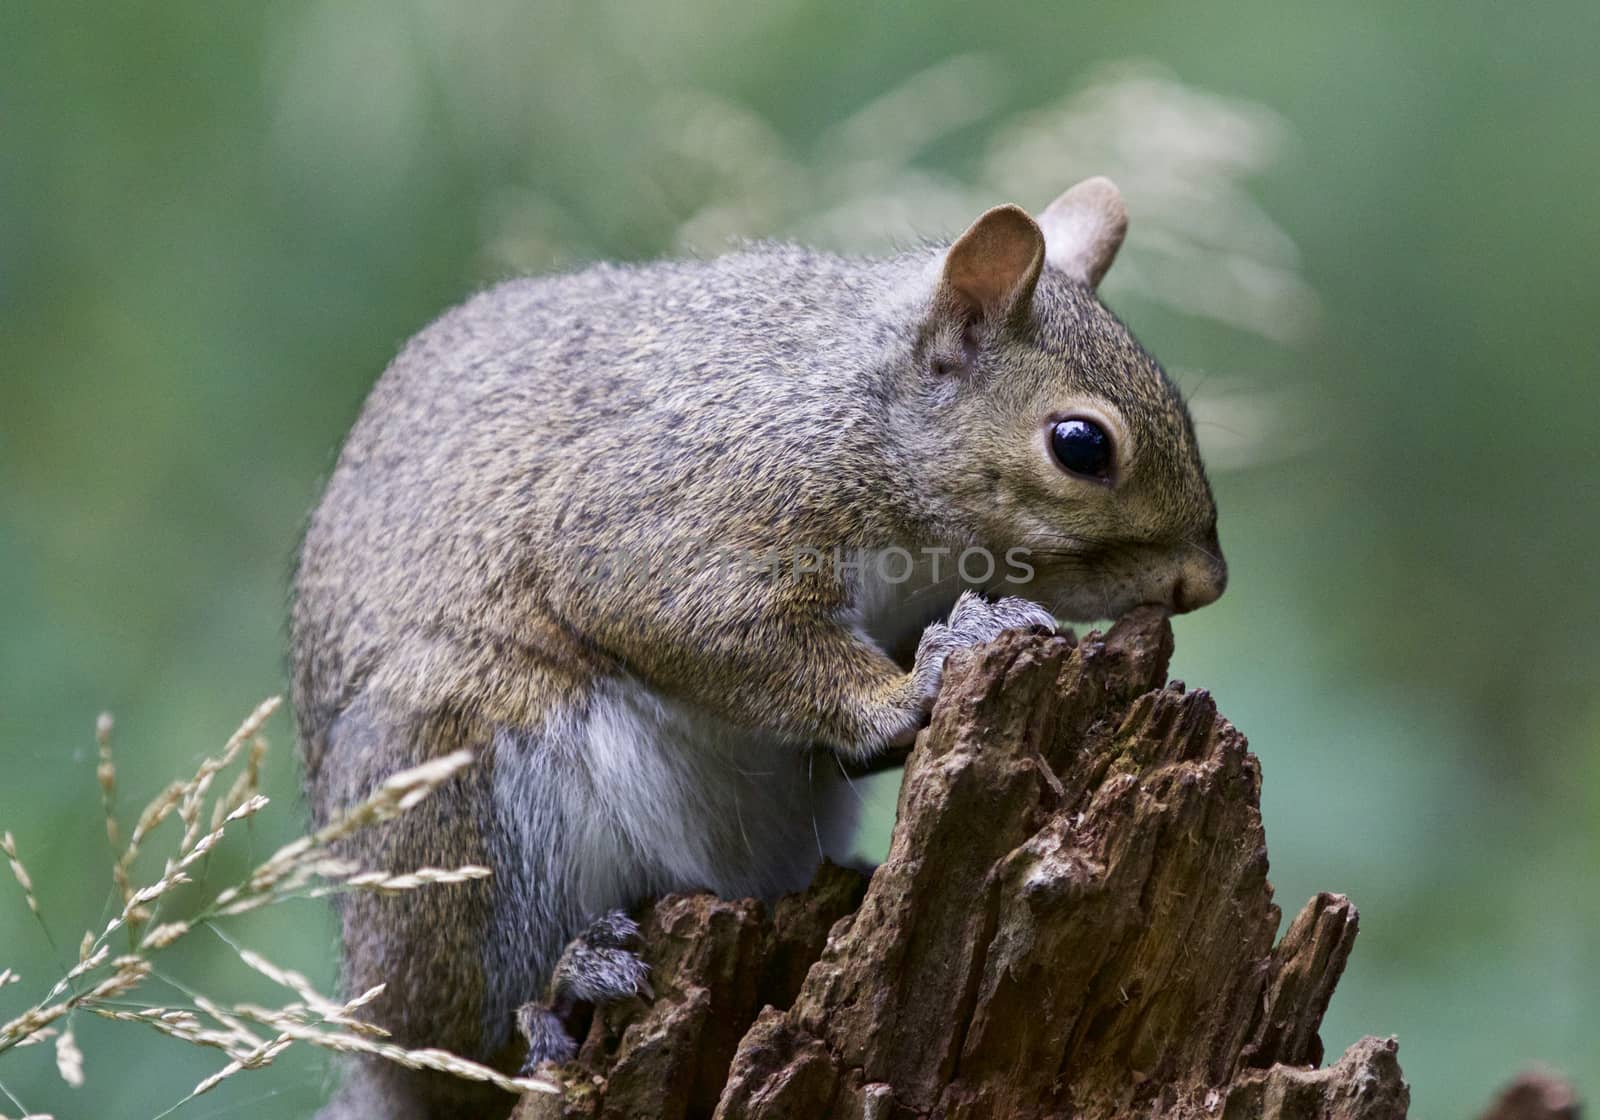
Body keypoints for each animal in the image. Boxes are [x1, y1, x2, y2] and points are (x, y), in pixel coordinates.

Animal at [294, 176, 1228, 1120]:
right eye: (1081, 445)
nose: (1206, 583)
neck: (864, 409)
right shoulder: (683, 510)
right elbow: (708, 625)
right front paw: (917, 683)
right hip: (464, 811)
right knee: (463, 1044)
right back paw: (560, 989)